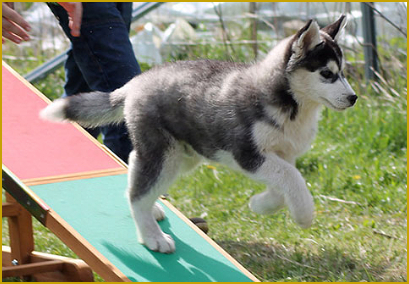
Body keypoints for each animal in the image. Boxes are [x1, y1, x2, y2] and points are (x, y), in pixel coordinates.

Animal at [39, 15, 356, 253]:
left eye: (343, 72)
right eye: (327, 74)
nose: (353, 98)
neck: (291, 104)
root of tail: (136, 82)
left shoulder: (282, 154)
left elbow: (286, 184)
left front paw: (261, 204)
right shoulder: (248, 153)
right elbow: (293, 179)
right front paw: (304, 215)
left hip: (183, 156)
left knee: (133, 165)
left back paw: (152, 210)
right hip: (165, 154)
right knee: (138, 193)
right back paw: (152, 236)